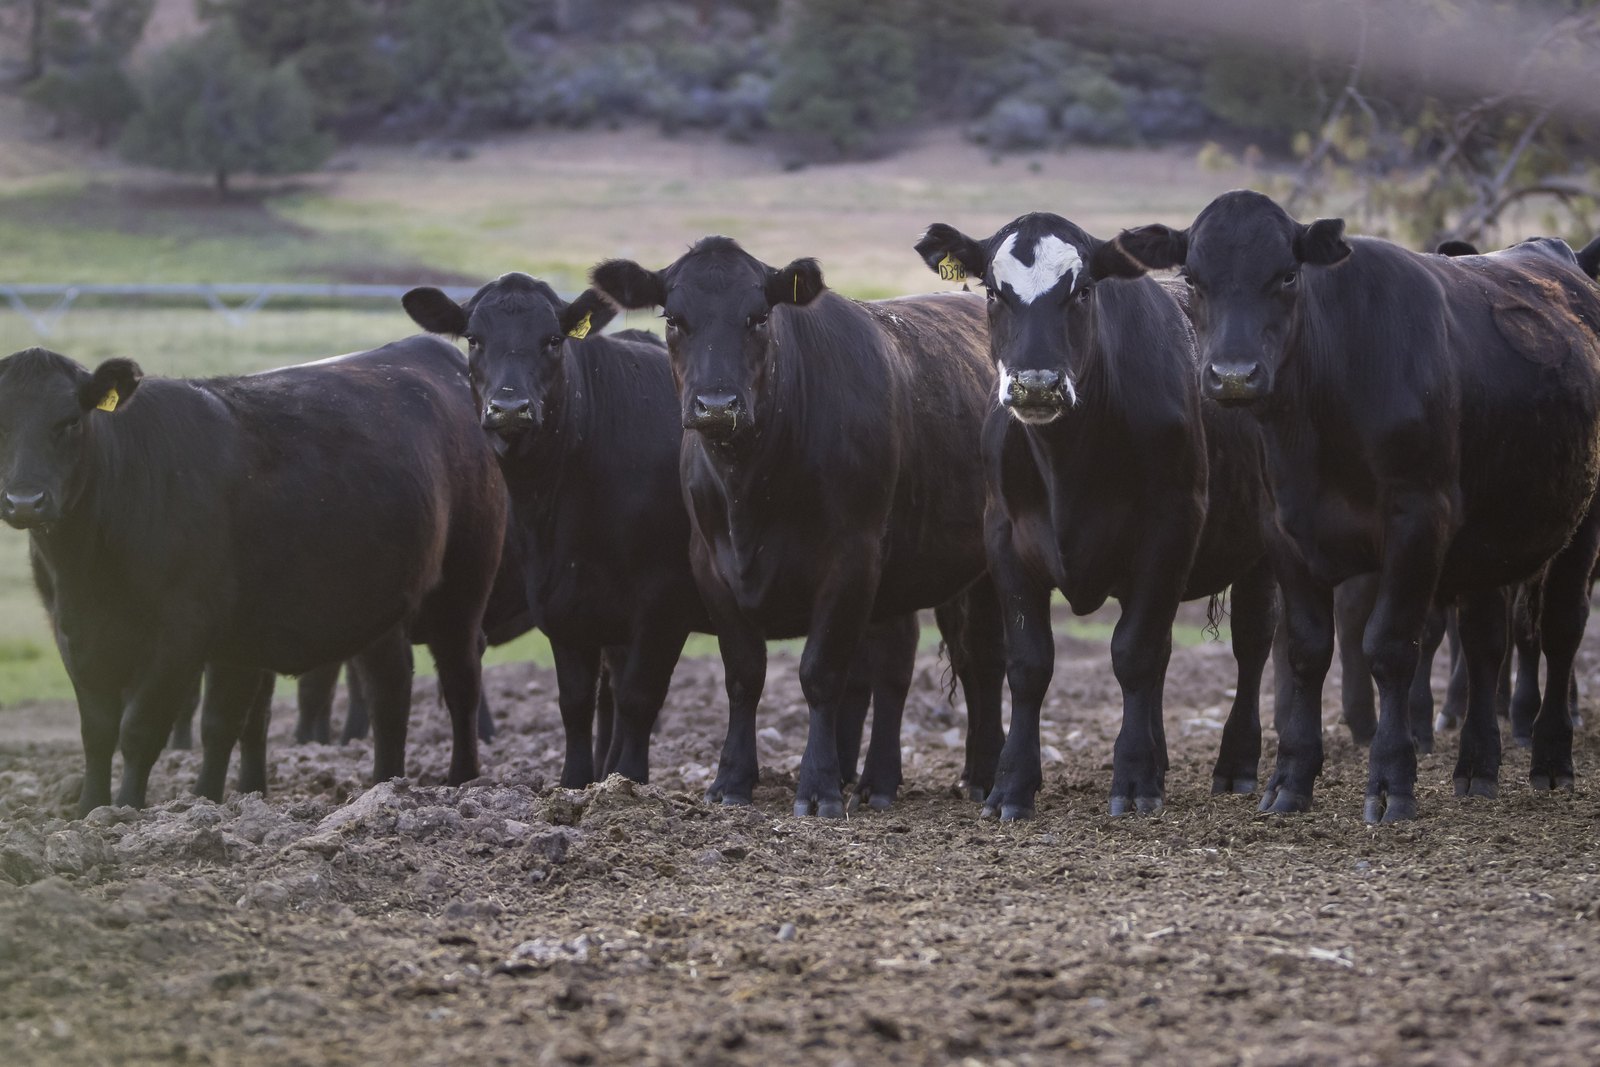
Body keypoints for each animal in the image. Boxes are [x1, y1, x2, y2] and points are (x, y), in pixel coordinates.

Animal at [0, 339, 506, 814]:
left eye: (69, 421)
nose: (25, 501)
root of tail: (430, 351)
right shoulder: (75, 633)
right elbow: (101, 731)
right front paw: (92, 809)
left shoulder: (181, 633)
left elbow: (141, 728)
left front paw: (126, 812)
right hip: (379, 605)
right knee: (390, 688)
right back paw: (385, 785)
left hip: (462, 590)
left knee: (461, 682)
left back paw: (462, 781)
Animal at [590, 238, 1006, 818]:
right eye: (674, 318)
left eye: (759, 316)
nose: (716, 405)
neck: (751, 487)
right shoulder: (710, 566)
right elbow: (744, 675)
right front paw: (731, 781)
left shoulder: (851, 559)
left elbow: (820, 673)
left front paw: (819, 788)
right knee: (914, 661)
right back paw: (886, 779)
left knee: (982, 661)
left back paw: (984, 776)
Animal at [913, 212, 1277, 818]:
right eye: (992, 292)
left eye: (1082, 291)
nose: (1036, 383)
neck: (1068, 463)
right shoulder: (1005, 539)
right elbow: (1029, 664)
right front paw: (1012, 785)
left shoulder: (1169, 530)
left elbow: (1133, 654)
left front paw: (1132, 779)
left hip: (1264, 547)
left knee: (1251, 644)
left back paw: (1236, 763)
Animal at [1107, 189, 1600, 822]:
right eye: (1193, 278)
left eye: (1288, 275)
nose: (1233, 376)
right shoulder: (1284, 534)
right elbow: (1307, 650)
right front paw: (1291, 778)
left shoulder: (1418, 522)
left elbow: (1388, 647)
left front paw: (1391, 780)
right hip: (1491, 541)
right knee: (1486, 643)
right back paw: (1476, 767)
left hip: (1580, 524)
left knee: (1560, 630)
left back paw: (1551, 759)